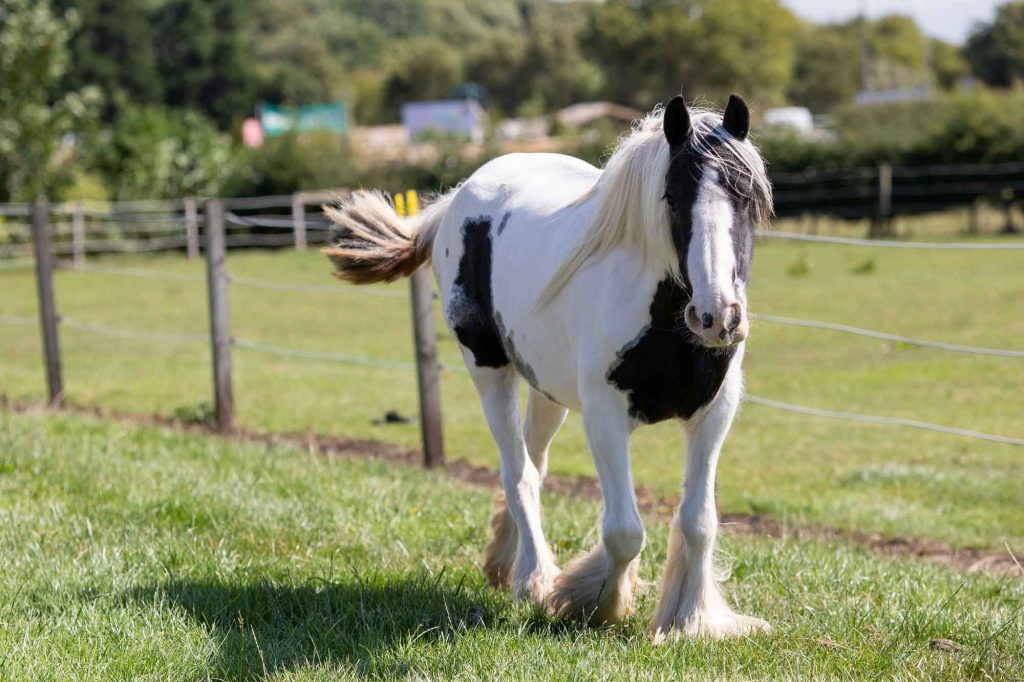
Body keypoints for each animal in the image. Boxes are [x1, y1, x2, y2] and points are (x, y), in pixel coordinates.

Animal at [327, 94, 774, 638]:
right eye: (670, 198)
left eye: (747, 197)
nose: (716, 316)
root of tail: (457, 198)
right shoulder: (604, 415)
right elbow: (624, 531)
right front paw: (591, 603)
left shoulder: (713, 413)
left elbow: (698, 522)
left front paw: (691, 619)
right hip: (488, 371)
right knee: (517, 472)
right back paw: (534, 580)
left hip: (548, 391)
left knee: (534, 466)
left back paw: (506, 561)